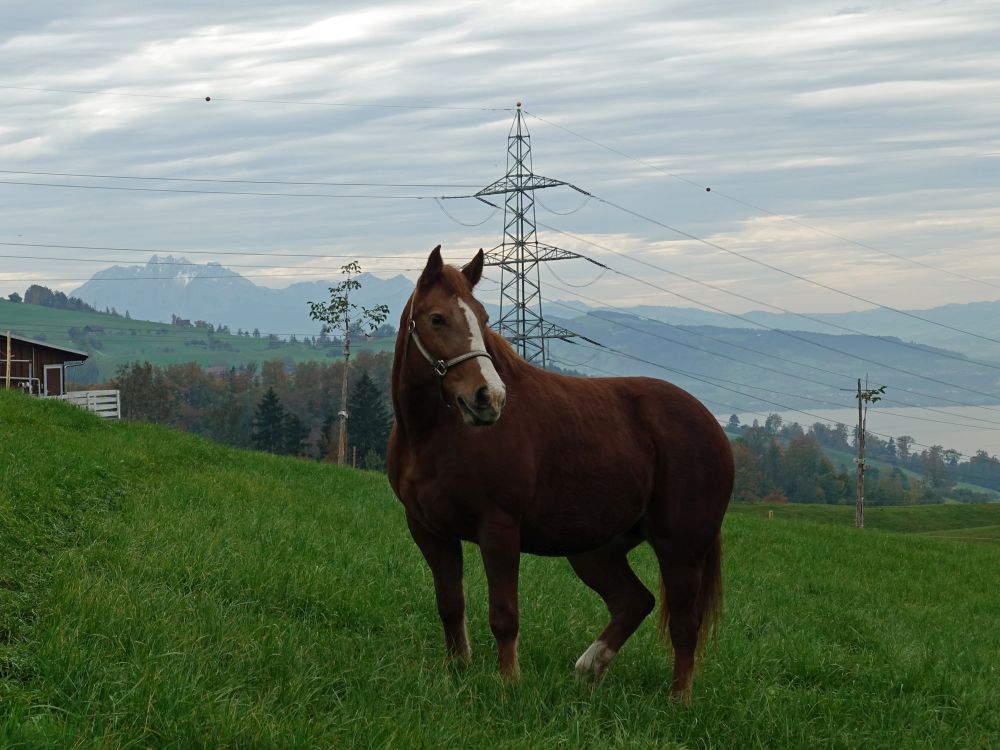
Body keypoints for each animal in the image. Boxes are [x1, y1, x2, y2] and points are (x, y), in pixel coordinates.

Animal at [388, 247, 736, 704]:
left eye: (483, 317)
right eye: (437, 319)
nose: (488, 398)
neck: (434, 435)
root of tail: (713, 427)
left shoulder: (499, 529)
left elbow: (504, 615)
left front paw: (509, 684)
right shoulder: (428, 530)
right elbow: (450, 605)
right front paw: (458, 672)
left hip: (681, 548)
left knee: (683, 624)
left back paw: (678, 701)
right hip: (596, 550)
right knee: (634, 602)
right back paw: (588, 670)